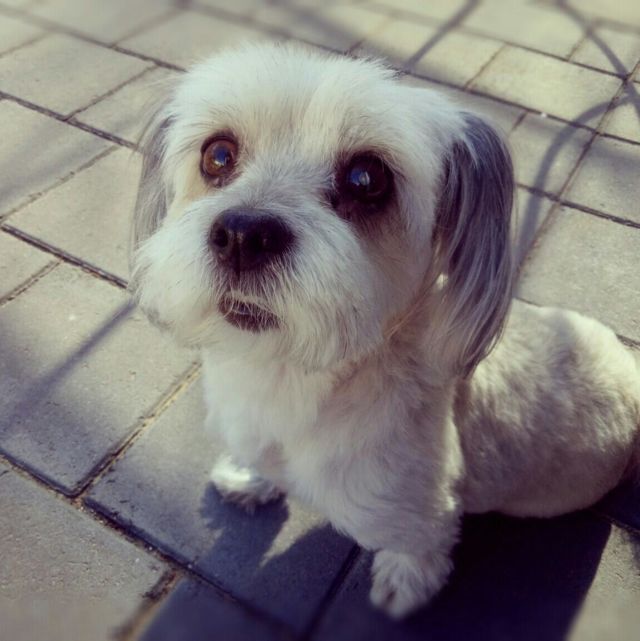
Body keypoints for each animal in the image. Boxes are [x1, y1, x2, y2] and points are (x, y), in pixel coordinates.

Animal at [130, 41, 640, 618]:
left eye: (366, 180)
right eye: (217, 155)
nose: (244, 233)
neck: (287, 374)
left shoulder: (415, 510)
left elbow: (419, 546)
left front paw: (404, 582)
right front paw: (251, 477)